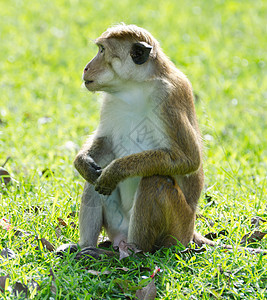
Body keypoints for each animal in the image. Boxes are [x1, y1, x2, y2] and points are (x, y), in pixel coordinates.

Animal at [56, 24, 266, 256]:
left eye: (102, 50)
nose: (86, 68)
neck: (134, 87)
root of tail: (191, 232)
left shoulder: (169, 98)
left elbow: (189, 159)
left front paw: (115, 171)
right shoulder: (110, 102)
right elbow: (105, 143)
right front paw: (82, 162)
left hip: (178, 229)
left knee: (155, 180)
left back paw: (132, 252)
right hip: (117, 225)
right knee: (95, 178)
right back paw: (87, 246)